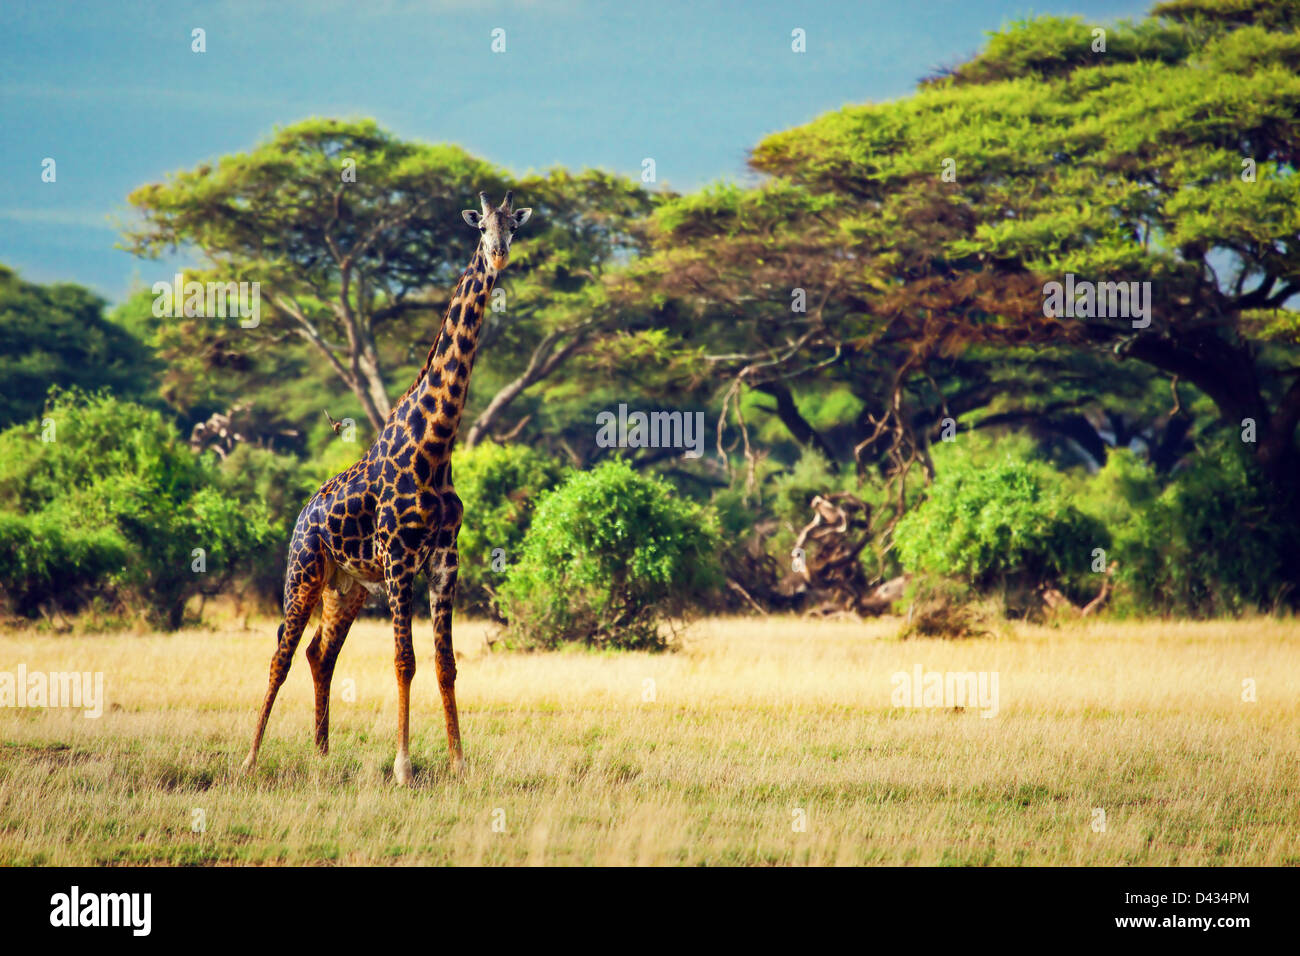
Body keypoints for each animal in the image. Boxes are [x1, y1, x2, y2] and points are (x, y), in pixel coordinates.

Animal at [242, 191, 532, 786]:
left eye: (514, 226)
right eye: (481, 227)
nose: (498, 255)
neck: (436, 445)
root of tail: (302, 514)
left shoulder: (444, 560)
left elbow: (446, 664)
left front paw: (459, 761)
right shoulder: (399, 559)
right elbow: (405, 660)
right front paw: (403, 766)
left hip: (347, 588)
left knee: (319, 655)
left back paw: (322, 756)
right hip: (304, 571)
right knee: (281, 654)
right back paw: (251, 758)